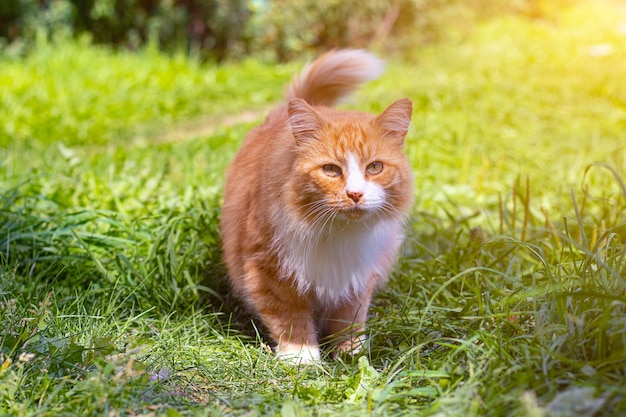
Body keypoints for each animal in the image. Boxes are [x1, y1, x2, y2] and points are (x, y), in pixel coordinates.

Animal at [221, 47, 414, 362]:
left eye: (374, 168)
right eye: (331, 170)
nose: (355, 194)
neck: (338, 235)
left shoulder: (357, 276)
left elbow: (349, 318)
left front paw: (350, 353)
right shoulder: (269, 269)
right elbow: (290, 318)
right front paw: (302, 358)